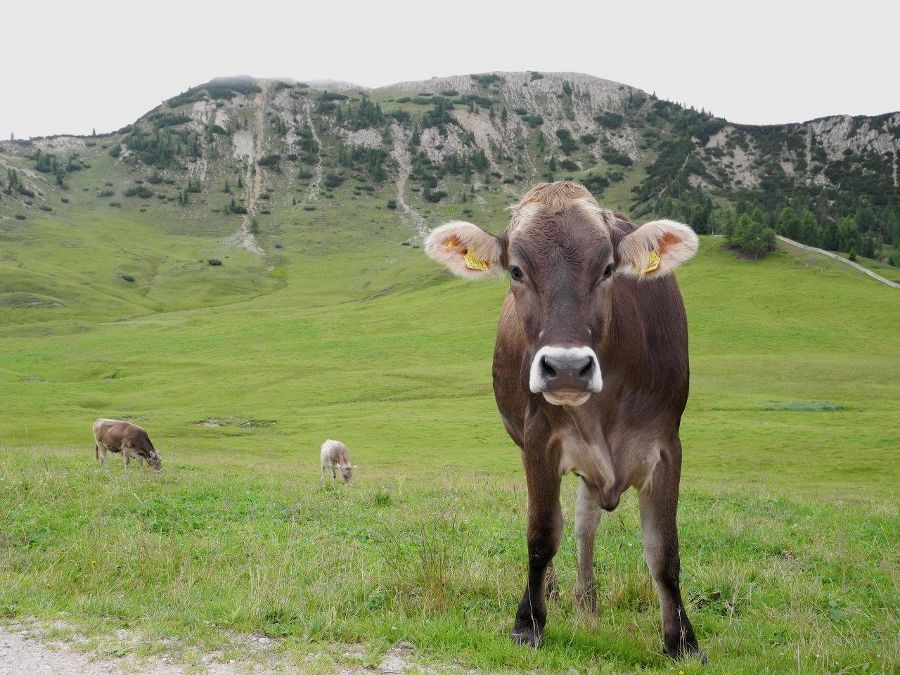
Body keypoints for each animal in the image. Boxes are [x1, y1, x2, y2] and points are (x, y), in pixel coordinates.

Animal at [426, 181, 708, 660]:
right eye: (516, 271)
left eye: (608, 268)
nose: (567, 368)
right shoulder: (539, 440)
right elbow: (541, 534)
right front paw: (528, 622)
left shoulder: (667, 446)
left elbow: (664, 551)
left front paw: (682, 639)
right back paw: (555, 593)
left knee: (584, 525)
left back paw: (587, 599)